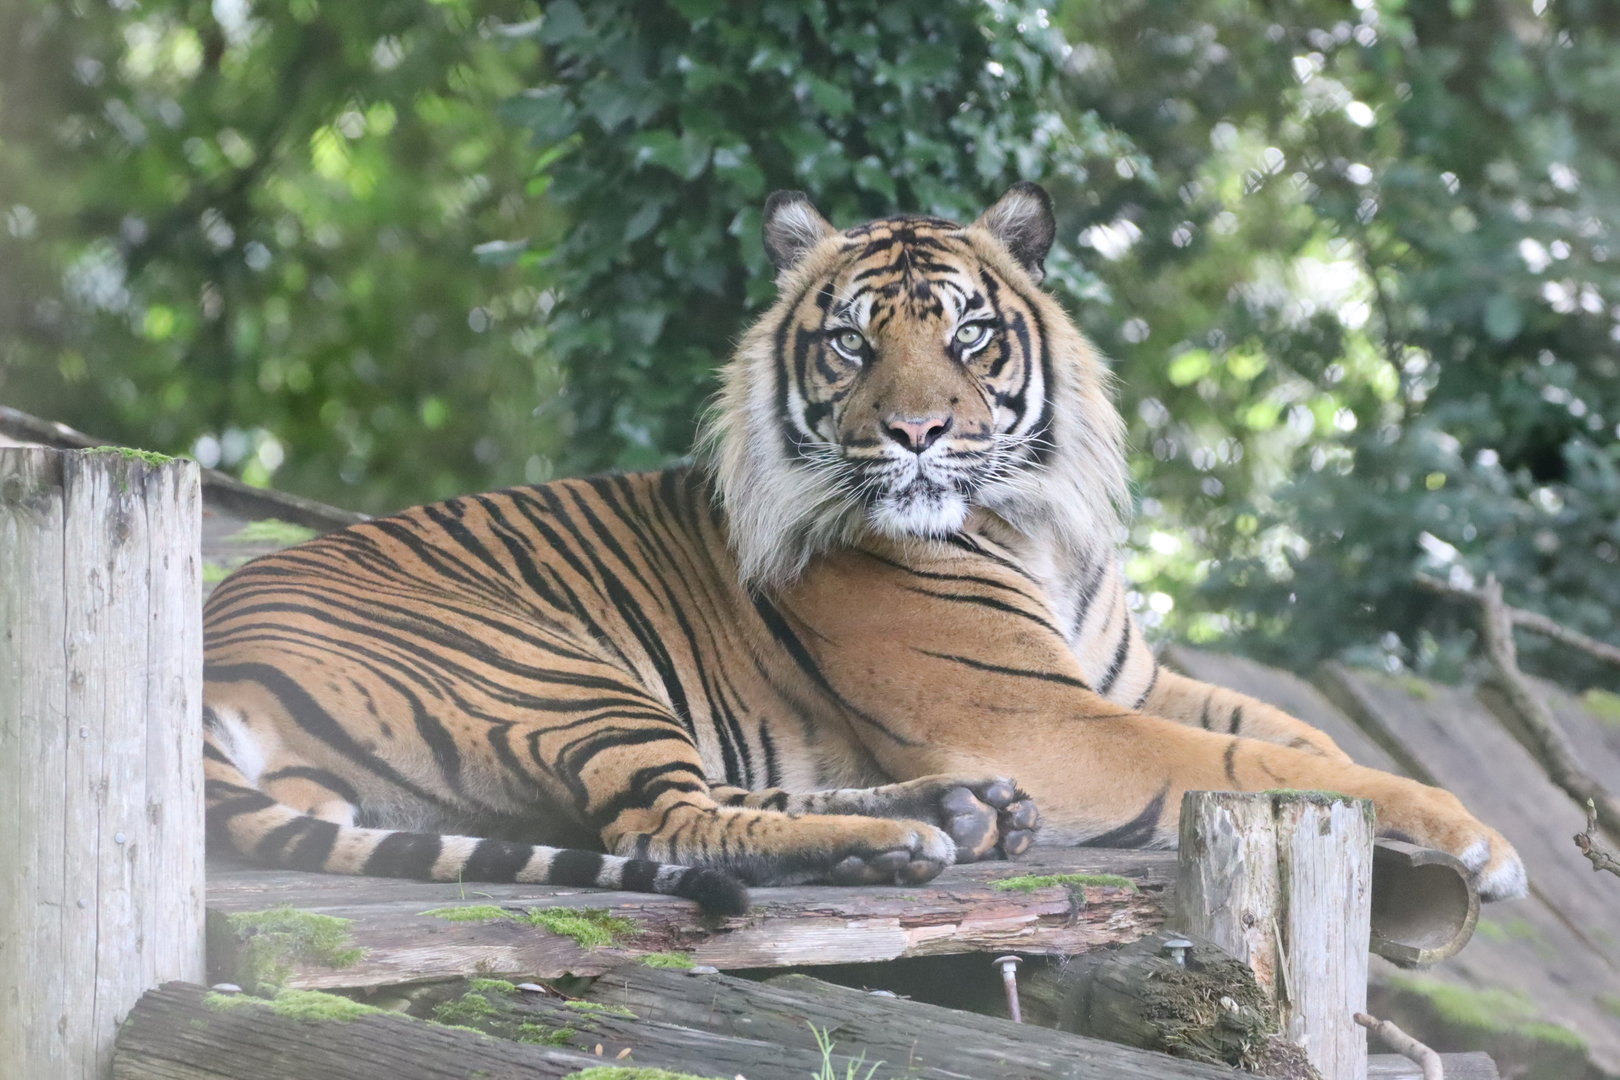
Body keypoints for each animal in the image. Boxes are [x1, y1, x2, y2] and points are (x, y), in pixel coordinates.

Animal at [202, 182, 1527, 915]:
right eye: (850, 343)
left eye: (970, 333)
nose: (917, 432)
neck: (1034, 521)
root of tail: (209, 648)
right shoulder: (1048, 718)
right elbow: (1270, 764)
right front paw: (1479, 836)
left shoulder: (1124, 681)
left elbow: (1298, 734)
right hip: (552, 667)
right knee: (663, 824)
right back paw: (905, 836)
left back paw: (959, 813)